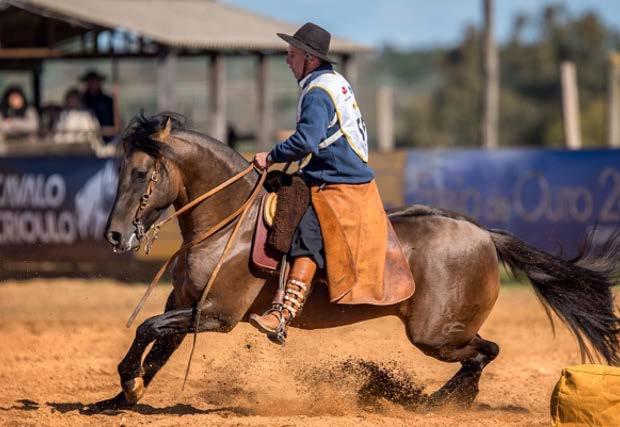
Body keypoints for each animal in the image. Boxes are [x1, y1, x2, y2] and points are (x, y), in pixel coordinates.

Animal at [103, 113, 620, 412]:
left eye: (142, 173)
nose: (114, 234)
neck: (228, 220)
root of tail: (484, 235)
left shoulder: (216, 315)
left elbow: (147, 329)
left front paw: (128, 385)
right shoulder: (185, 302)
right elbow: (156, 347)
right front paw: (118, 399)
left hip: (435, 335)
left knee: (485, 352)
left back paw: (432, 402)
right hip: (441, 334)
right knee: (484, 353)